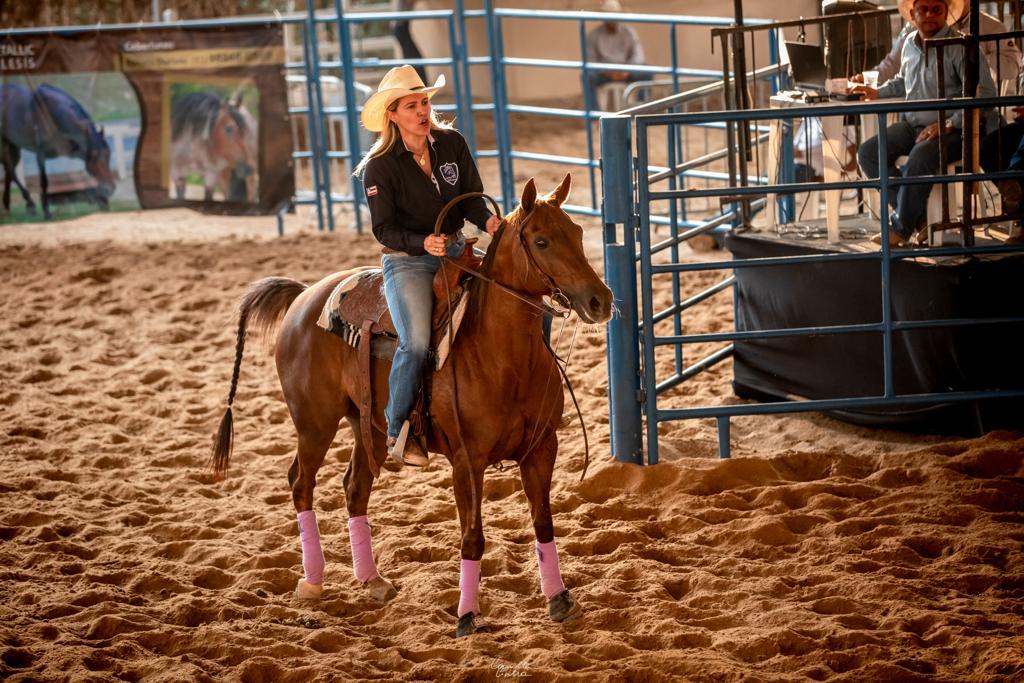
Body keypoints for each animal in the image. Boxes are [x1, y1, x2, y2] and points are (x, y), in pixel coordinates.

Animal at [0, 81, 116, 219]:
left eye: (108, 154)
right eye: (93, 156)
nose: (111, 188)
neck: (51, 116)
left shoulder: (74, 150)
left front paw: (103, 202)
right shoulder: (40, 154)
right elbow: (44, 181)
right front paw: (46, 212)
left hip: (13, 145)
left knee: (9, 171)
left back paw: (8, 206)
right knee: (10, 169)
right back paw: (29, 204)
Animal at [207, 174, 606, 638]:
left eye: (577, 233)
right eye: (541, 241)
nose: (600, 300)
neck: (504, 357)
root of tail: (304, 296)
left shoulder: (542, 449)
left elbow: (543, 523)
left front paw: (559, 598)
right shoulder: (467, 461)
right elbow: (473, 537)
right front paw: (467, 616)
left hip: (369, 427)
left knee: (354, 487)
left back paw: (372, 581)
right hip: (314, 423)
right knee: (301, 483)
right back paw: (313, 581)